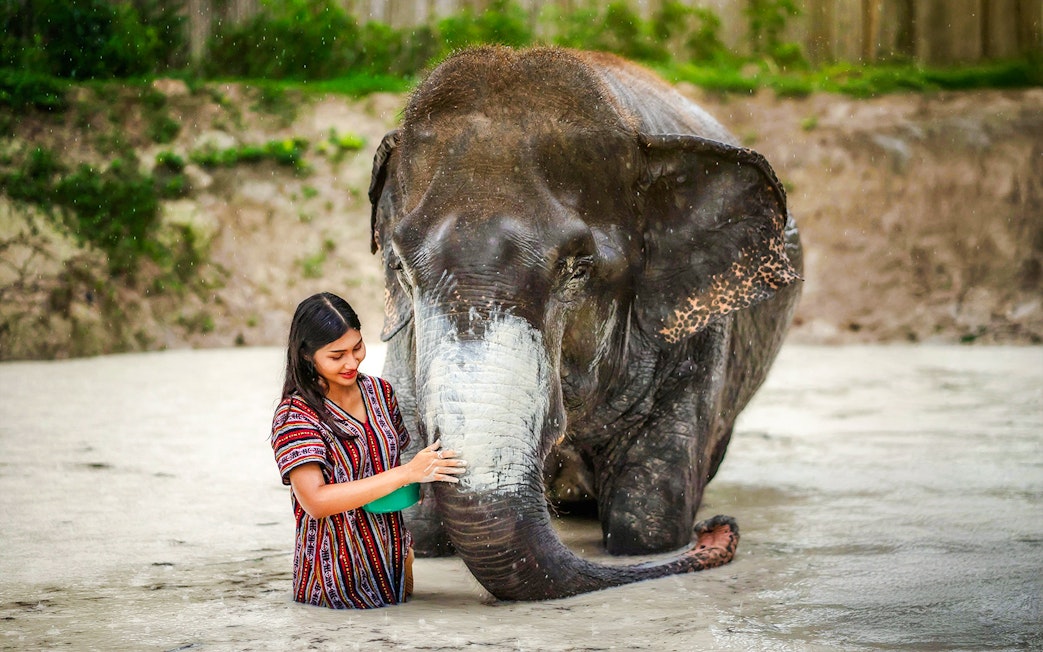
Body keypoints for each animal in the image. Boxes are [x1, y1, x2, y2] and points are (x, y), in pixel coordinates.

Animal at [367, 46, 803, 601]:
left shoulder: (698, 338)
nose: (717, 530)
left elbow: (646, 523)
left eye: (577, 268)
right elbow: (418, 525)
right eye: (401, 267)